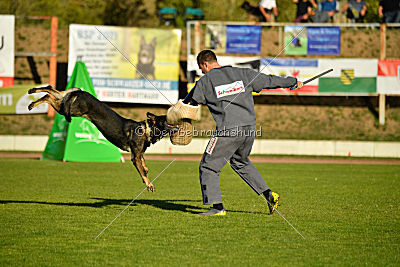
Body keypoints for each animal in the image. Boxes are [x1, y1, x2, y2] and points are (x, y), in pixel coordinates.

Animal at [28, 85, 177, 192]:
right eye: (166, 119)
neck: (146, 130)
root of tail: (81, 92)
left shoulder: (138, 153)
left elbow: (143, 161)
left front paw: (145, 168)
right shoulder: (134, 157)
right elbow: (142, 170)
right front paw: (149, 184)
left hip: (66, 100)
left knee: (51, 90)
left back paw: (33, 93)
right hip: (71, 109)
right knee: (49, 96)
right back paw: (32, 102)